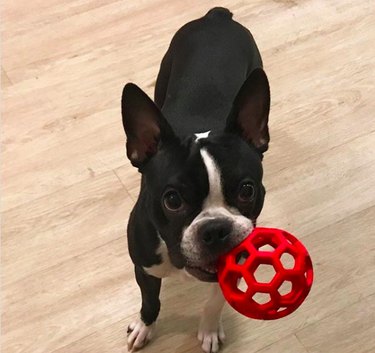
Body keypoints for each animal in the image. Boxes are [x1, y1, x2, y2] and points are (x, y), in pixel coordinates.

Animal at [122, 6, 272, 350]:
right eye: (172, 200)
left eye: (247, 190)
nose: (215, 230)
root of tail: (217, 17)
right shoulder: (144, 268)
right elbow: (150, 301)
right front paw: (144, 326)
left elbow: (215, 301)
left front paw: (209, 329)